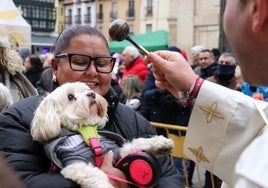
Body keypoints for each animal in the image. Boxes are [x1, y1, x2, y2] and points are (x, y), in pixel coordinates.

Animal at [30, 83, 174, 188]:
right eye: (70, 97)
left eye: (87, 89)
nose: (92, 94)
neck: (87, 129)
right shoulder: (74, 164)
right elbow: (95, 174)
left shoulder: (116, 153)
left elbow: (137, 143)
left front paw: (160, 144)